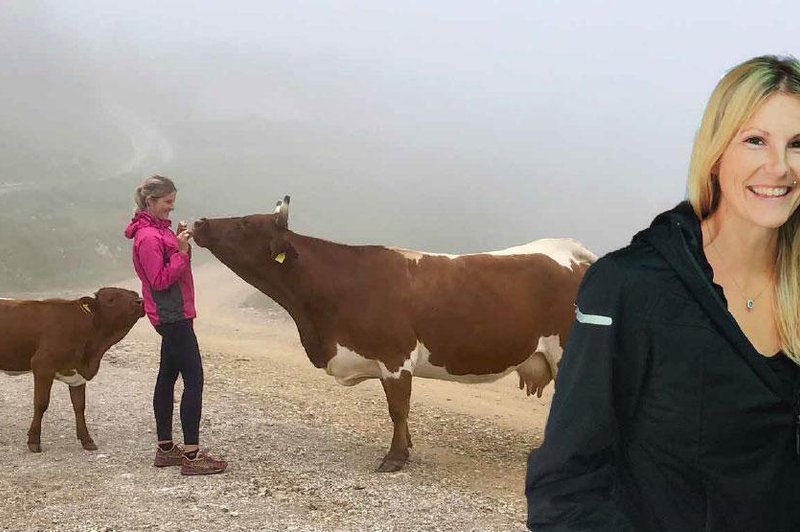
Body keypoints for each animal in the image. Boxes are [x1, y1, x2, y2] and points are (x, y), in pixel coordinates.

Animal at [1, 288, 145, 450]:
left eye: (134, 294)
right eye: (110, 299)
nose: (140, 301)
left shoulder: (78, 375)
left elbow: (79, 406)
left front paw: (86, 439)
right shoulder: (42, 365)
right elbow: (41, 404)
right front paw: (34, 440)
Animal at [194, 197, 592, 472]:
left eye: (246, 223)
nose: (199, 221)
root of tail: (570, 253)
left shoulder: (395, 357)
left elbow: (397, 409)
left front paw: (396, 457)